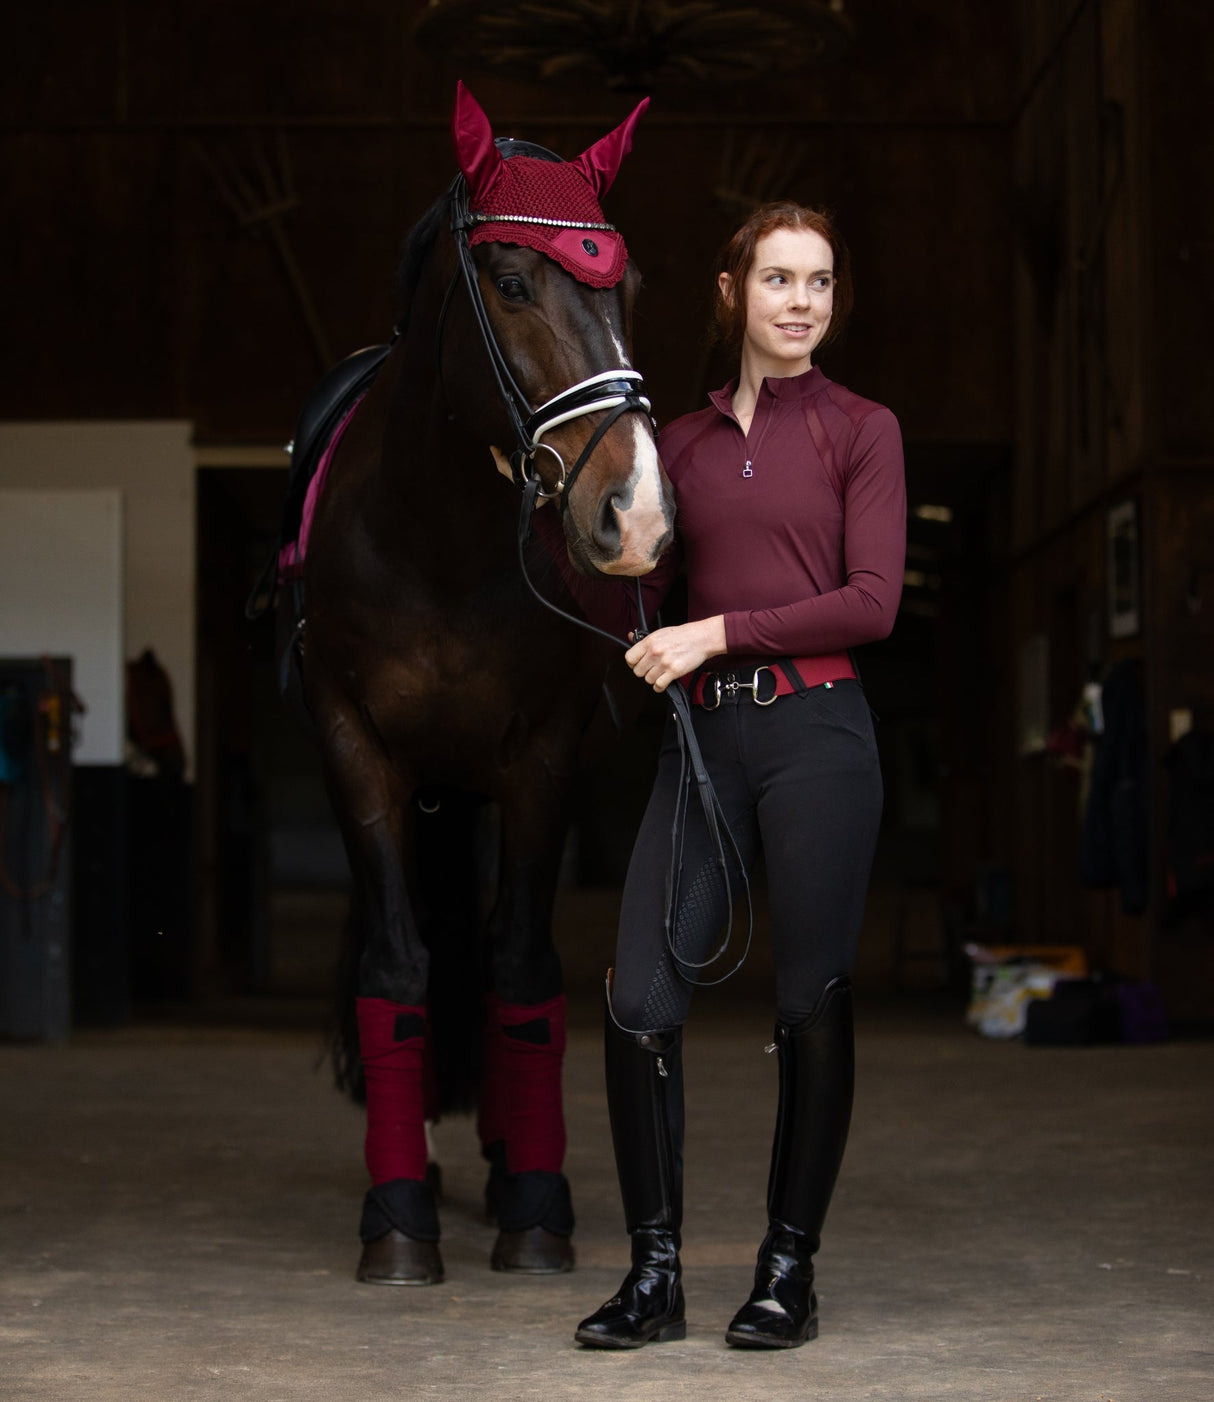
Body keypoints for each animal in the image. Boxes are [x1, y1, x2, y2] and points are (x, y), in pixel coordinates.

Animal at [267, 82, 672, 1284]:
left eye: (625, 285)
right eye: (511, 282)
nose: (637, 510)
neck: (433, 535)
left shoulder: (537, 756)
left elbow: (522, 965)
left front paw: (534, 1202)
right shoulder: (357, 748)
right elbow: (399, 966)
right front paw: (396, 1213)